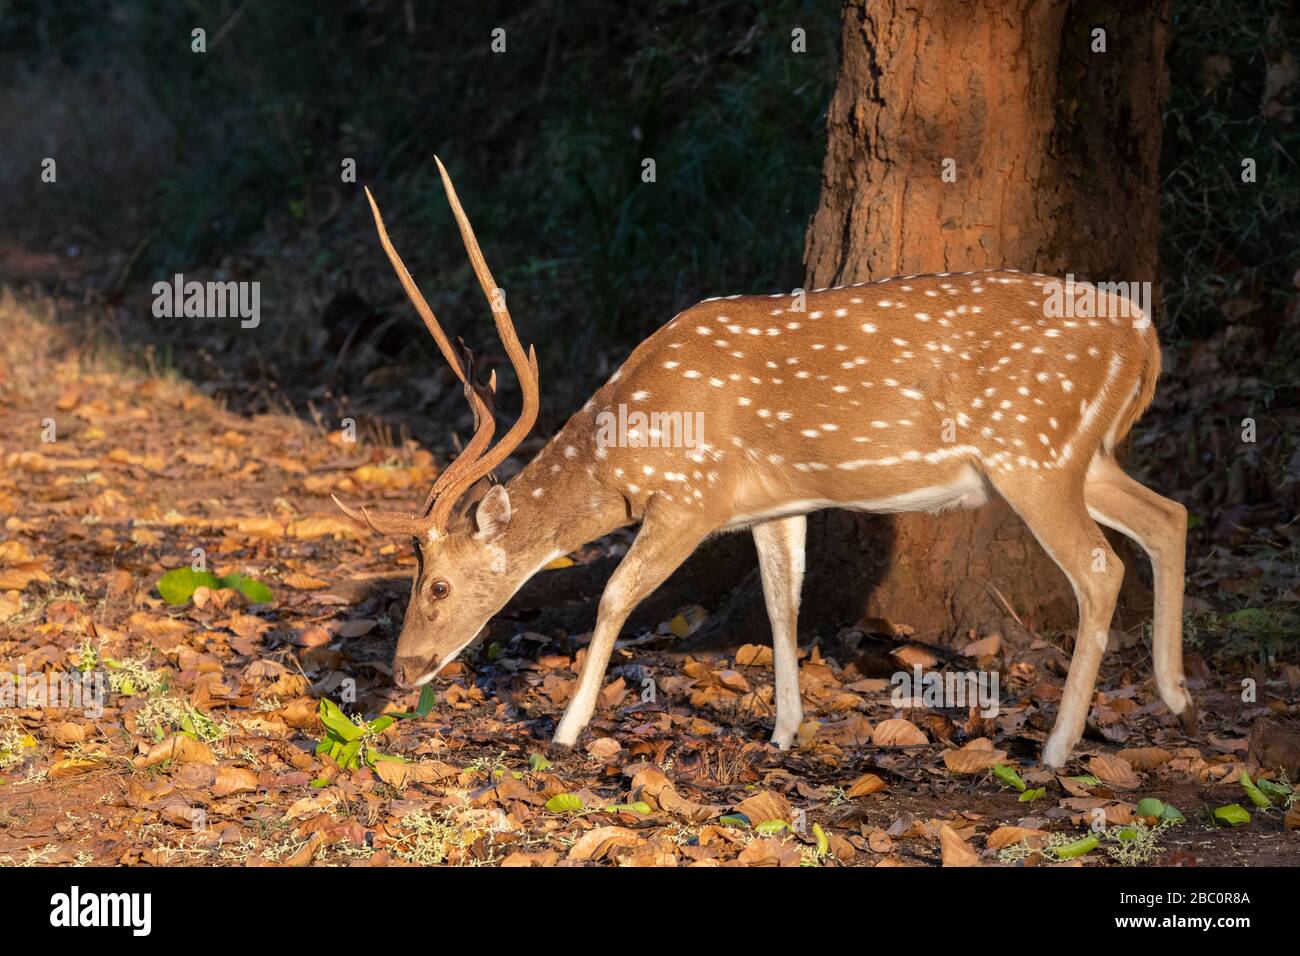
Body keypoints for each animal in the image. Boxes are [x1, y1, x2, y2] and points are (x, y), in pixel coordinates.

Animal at [335, 159, 1194, 769]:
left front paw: (567, 728)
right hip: (1081, 454)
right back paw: (1178, 695)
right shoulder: (776, 503)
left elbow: (614, 596)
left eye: (438, 585)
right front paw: (784, 730)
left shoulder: (691, 496)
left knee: (1100, 567)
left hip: (1033, 449)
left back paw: (1057, 747)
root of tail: (1146, 336)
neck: (628, 449)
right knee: (1170, 516)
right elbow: (784, 603)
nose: (401, 671)